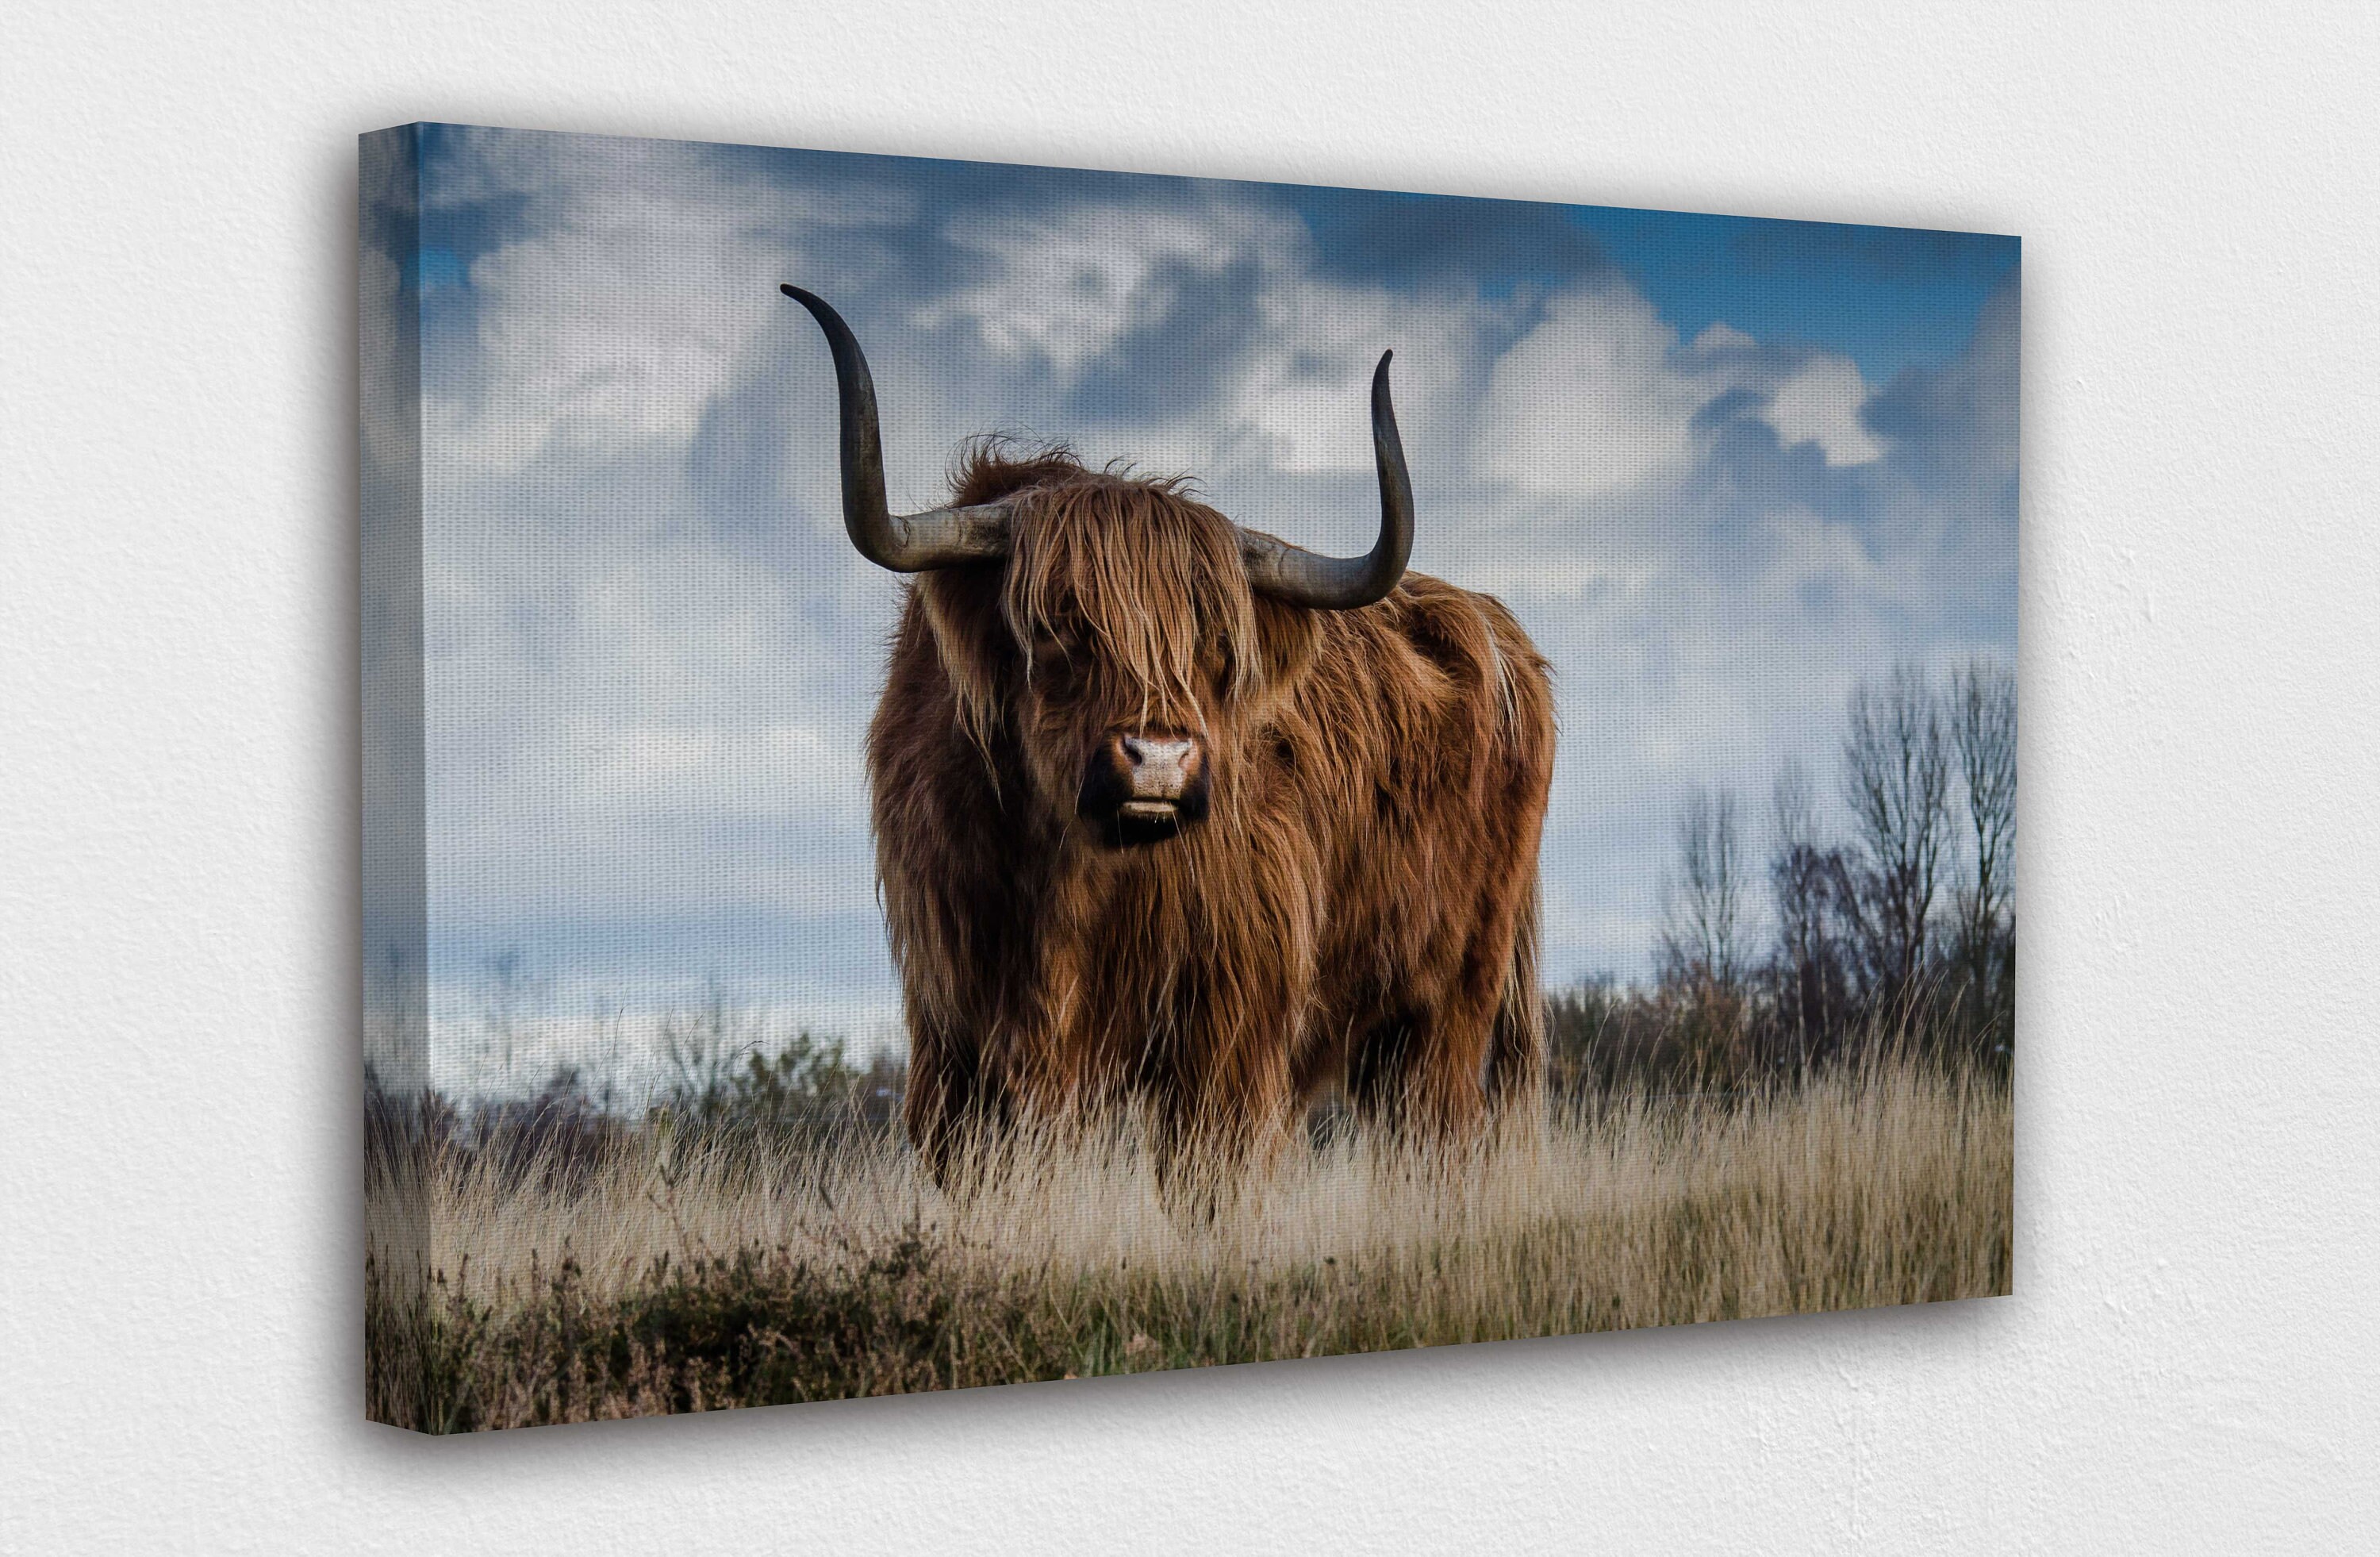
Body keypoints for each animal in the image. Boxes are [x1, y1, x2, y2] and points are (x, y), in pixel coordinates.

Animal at [780, 285, 1556, 1182]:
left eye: (1217, 644)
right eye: (1058, 626)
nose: (1159, 760)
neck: (1063, 882)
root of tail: (1502, 633)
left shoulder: (1228, 1033)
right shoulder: (956, 1037)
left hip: (1449, 1004)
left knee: (1439, 1137)